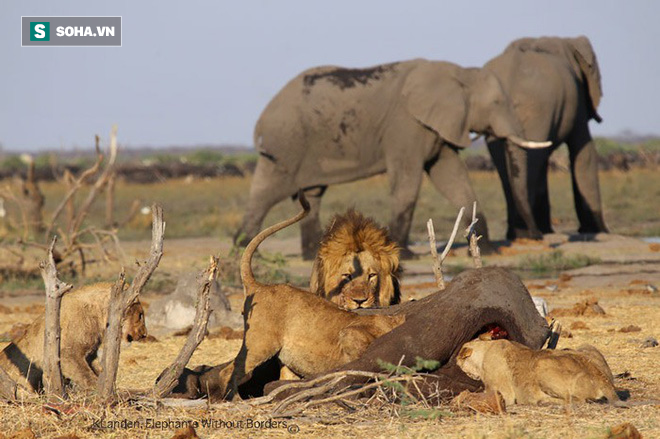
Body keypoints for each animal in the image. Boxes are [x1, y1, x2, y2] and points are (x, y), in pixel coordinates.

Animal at [0, 284, 147, 394]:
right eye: (140, 315)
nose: (144, 334)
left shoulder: (89, 355)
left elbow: (95, 370)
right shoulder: (67, 353)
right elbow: (87, 376)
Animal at [204, 194, 404, 400]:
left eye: (372, 276)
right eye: (348, 276)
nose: (360, 301)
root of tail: (259, 286)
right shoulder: (350, 334)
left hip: (286, 360)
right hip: (260, 343)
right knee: (228, 371)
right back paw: (233, 399)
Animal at [236, 58, 548, 258]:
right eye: (497, 103)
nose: (536, 236)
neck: (459, 73)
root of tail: (261, 120)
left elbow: (452, 177)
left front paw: (488, 248)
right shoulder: (406, 126)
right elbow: (408, 181)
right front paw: (405, 254)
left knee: (310, 193)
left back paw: (312, 253)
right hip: (287, 142)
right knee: (268, 190)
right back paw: (244, 246)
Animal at [456, 340, 616, 406]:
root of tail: (602, 378)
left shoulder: (502, 393)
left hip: (541, 364)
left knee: (577, 400)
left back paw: (541, 401)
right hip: (585, 347)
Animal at [484, 36, 608, 241]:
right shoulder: (578, 103)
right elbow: (585, 153)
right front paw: (599, 231)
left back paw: (520, 234)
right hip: (539, 111)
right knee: (533, 166)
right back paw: (529, 233)